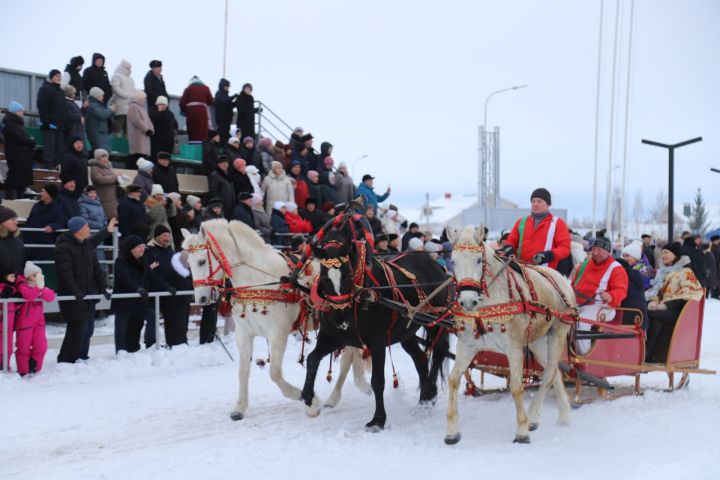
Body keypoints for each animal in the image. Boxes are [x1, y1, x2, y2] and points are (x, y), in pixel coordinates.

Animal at [181, 219, 372, 422]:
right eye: (189, 264)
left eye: (202, 261)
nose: (201, 299)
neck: (257, 280)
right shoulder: (244, 333)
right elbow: (243, 371)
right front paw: (239, 407)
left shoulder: (278, 334)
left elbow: (274, 373)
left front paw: (307, 399)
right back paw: (357, 386)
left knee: (347, 358)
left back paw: (337, 396)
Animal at [302, 218, 450, 432]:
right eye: (323, 277)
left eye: (348, 275)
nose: (341, 319)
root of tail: (434, 264)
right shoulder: (332, 337)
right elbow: (312, 359)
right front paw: (309, 400)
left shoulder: (377, 341)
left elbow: (378, 381)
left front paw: (378, 420)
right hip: (406, 332)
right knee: (421, 358)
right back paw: (425, 400)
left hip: (436, 322)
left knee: (438, 352)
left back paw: (429, 391)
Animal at [444, 227, 572, 444]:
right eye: (453, 261)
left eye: (478, 260)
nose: (468, 300)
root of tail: (562, 278)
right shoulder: (467, 345)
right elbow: (453, 380)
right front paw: (452, 432)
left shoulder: (513, 347)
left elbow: (516, 387)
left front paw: (521, 431)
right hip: (537, 340)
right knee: (555, 372)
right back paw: (561, 415)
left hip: (557, 334)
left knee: (547, 375)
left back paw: (533, 416)